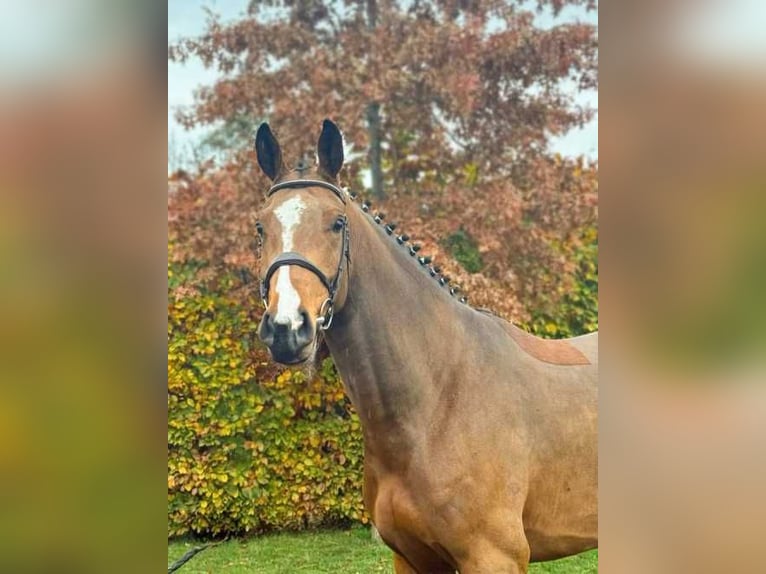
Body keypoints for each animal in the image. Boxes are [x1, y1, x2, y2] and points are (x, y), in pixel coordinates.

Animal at [253, 119, 598, 573]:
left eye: (337, 223)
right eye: (261, 228)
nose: (286, 328)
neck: (439, 399)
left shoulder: (494, 557)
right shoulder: (411, 557)